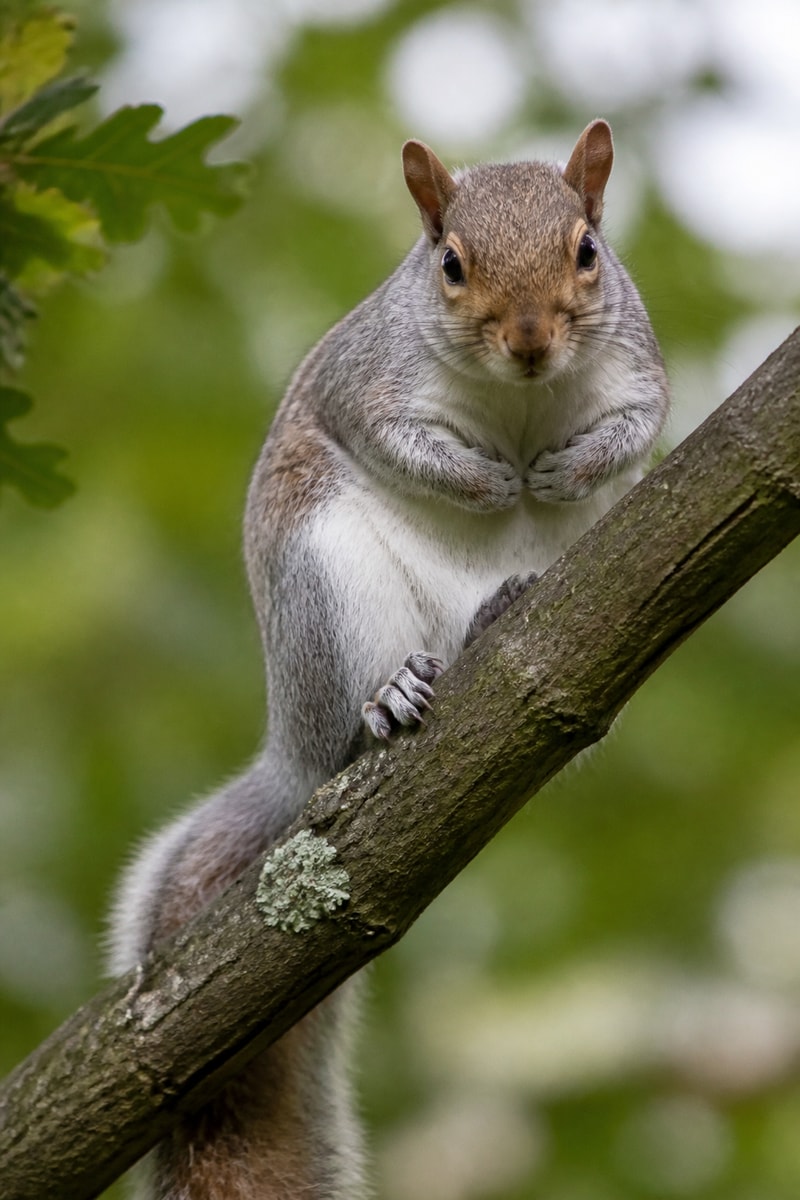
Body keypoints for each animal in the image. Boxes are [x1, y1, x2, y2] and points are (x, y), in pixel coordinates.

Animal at [109, 119, 669, 1199]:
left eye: (587, 251)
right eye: (449, 263)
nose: (529, 340)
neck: (518, 401)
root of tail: (291, 756)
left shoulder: (638, 365)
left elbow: (639, 425)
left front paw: (563, 470)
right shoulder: (366, 378)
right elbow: (394, 438)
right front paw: (488, 482)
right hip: (329, 583)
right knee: (355, 714)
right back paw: (390, 700)